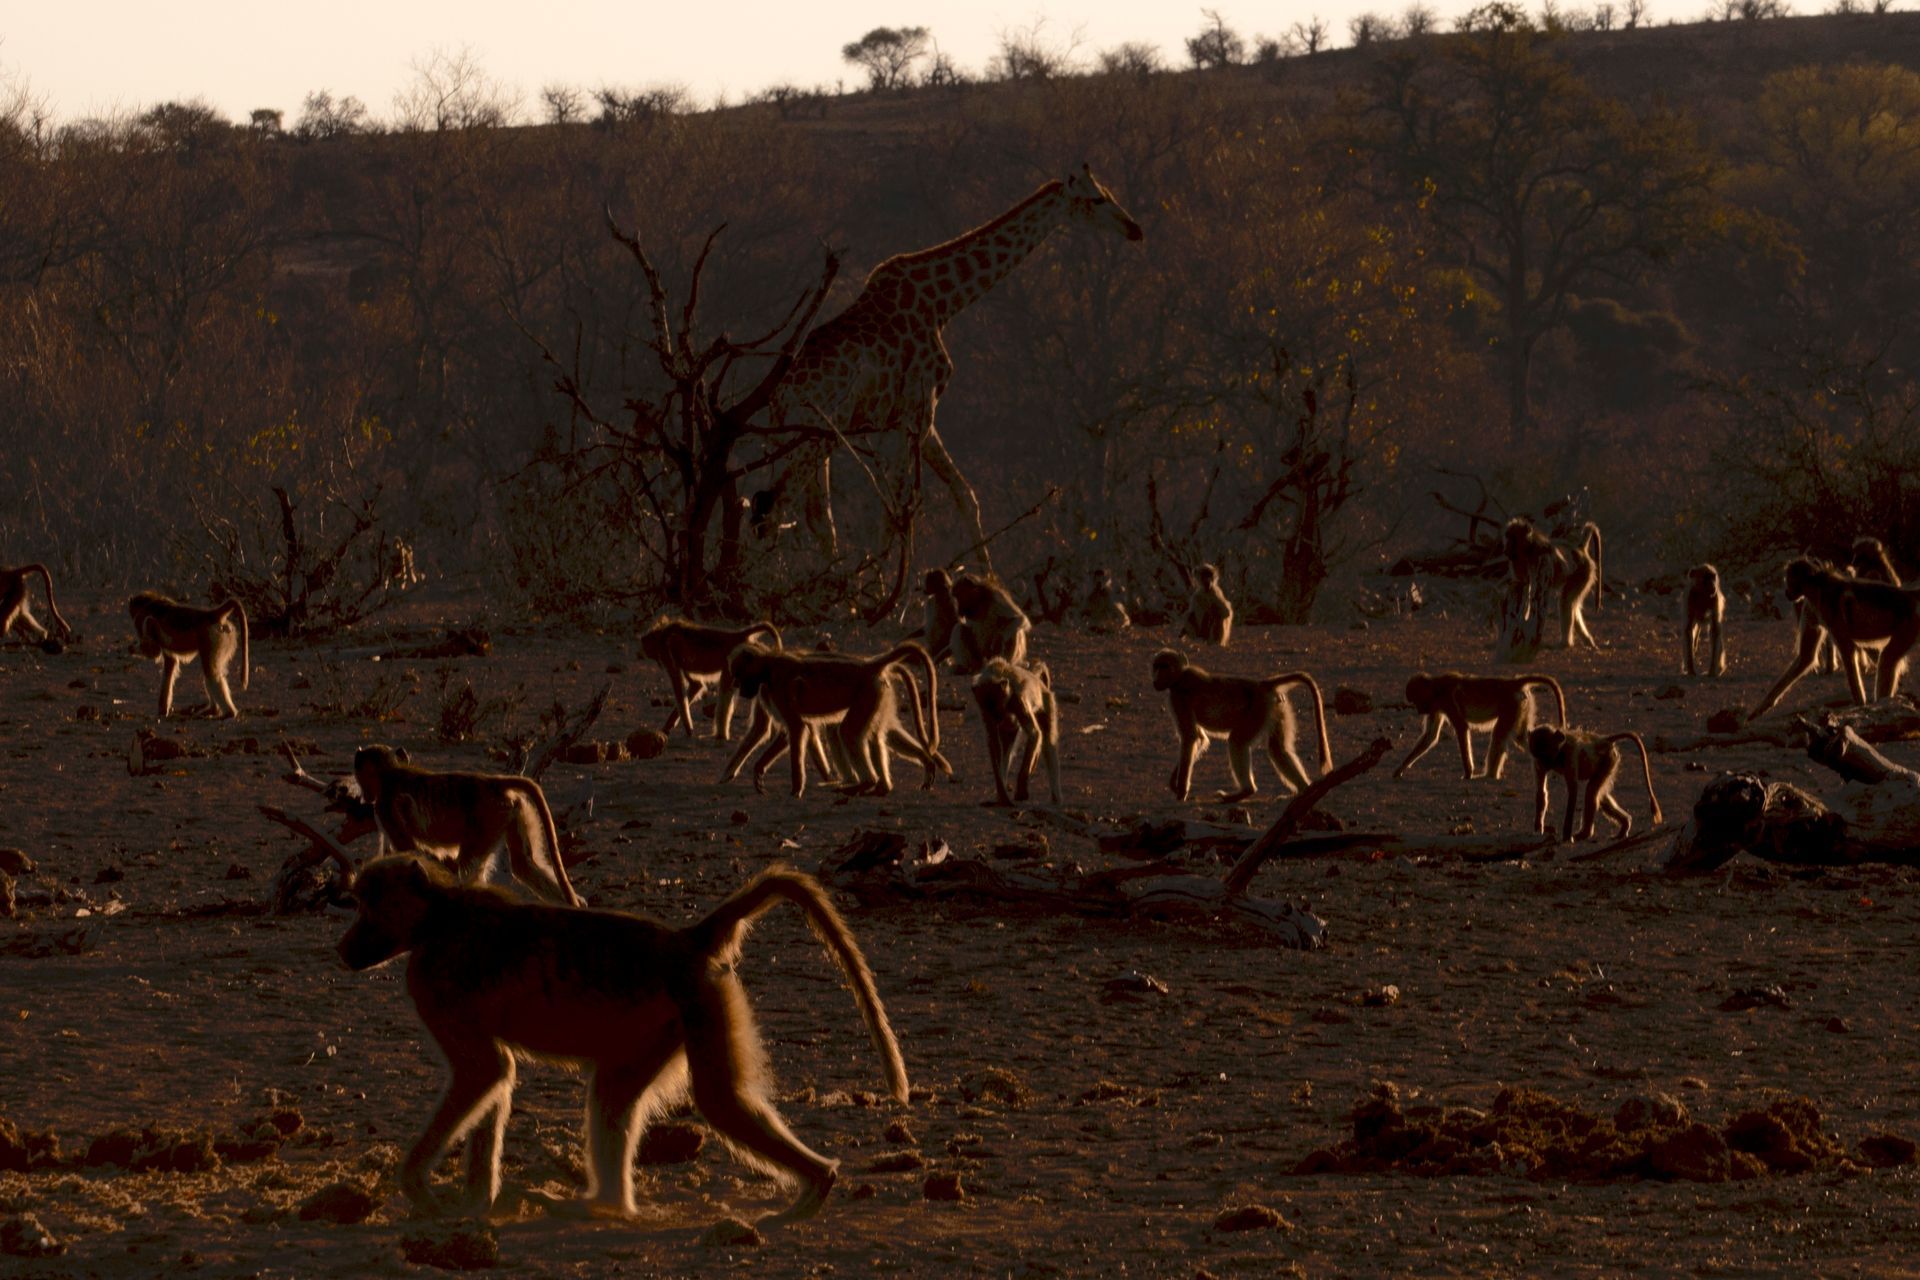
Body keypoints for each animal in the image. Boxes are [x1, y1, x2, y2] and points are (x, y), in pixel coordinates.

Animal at [771, 164, 1144, 567]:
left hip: (805, 438)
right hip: (814, 433)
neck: (943, 303)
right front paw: (891, 582)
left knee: (813, 517)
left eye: (1108, 192)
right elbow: (897, 512)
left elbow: (962, 494)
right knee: (775, 503)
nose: (1135, 230)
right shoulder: (917, 412)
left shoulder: (911, 417)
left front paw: (989, 579)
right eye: (1097, 199)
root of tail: (779, 396)